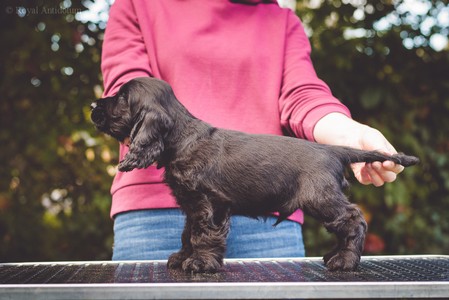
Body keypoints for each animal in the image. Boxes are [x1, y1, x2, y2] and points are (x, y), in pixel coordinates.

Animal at [89, 78, 418, 274]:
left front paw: (200, 262)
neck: (182, 138)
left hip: (320, 198)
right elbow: (187, 232)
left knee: (352, 219)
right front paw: (183, 257)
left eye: (122, 97)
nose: (93, 105)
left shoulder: (211, 204)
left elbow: (203, 233)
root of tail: (333, 151)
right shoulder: (192, 204)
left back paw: (345, 260)